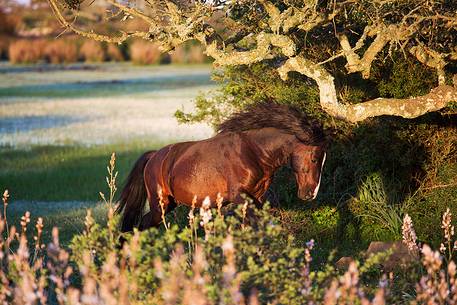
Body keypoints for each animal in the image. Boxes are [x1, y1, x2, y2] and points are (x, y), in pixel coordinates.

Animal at [116, 102, 326, 230]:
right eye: (315, 158)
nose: (311, 193)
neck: (252, 152)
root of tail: (154, 156)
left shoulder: (257, 196)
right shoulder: (240, 196)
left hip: (169, 204)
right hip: (160, 203)